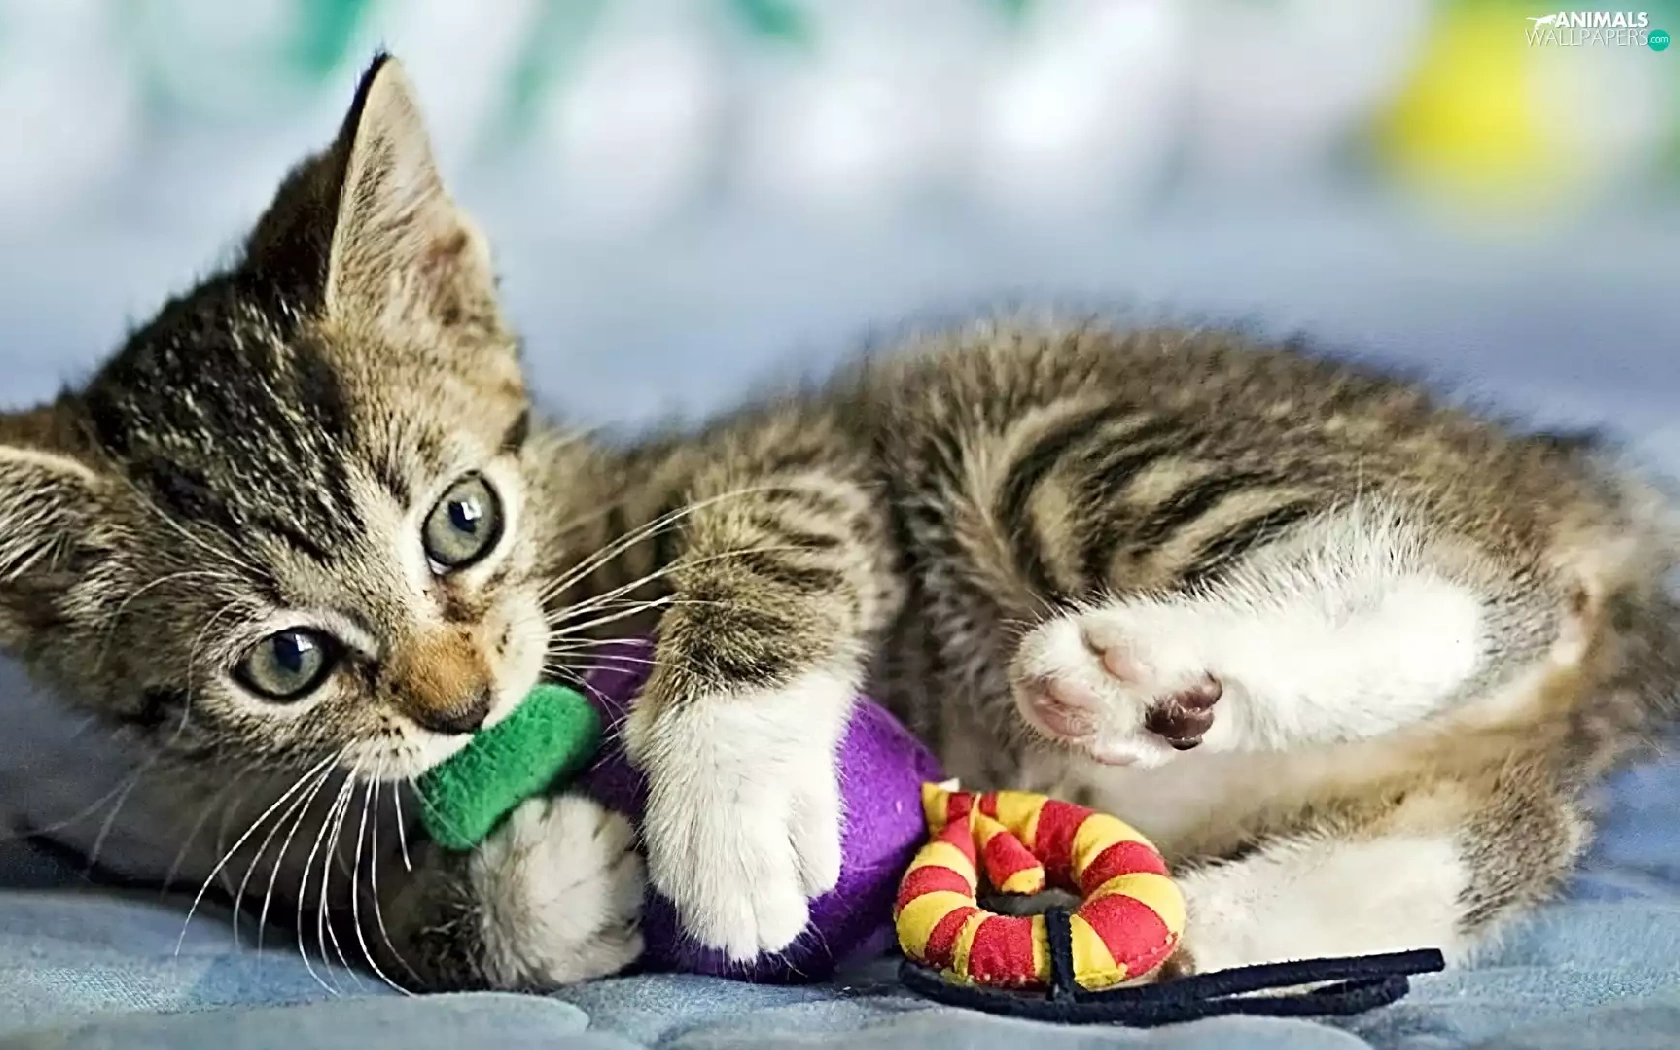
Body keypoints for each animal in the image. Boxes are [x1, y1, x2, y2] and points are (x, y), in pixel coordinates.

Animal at [0, 53, 1675, 993]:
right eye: (284, 662)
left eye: (461, 521)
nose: (464, 701)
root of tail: (1594, 497)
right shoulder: (182, 823)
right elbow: (355, 906)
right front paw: (529, 900)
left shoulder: (797, 455)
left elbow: (776, 545)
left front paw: (729, 805)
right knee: (1489, 836)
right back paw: (1183, 914)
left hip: (1036, 428)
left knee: (1479, 588)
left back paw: (1141, 674)